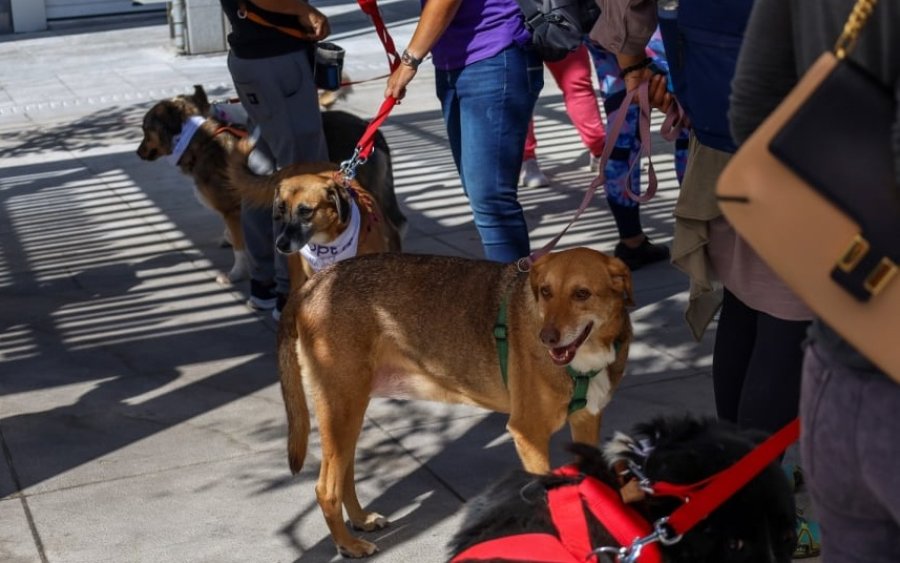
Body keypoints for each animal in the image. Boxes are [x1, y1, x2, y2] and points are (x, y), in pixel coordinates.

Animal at [274, 248, 632, 560]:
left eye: (582, 294)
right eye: (545, 292)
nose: (547, 338)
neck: (586, 357)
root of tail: (311, 285)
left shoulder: (587, 421)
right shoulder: (529, 434)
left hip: (350, 411)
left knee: (345, 473)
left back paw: (361, 520)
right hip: (342, 409)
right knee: (325, 488)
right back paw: (349, 545)